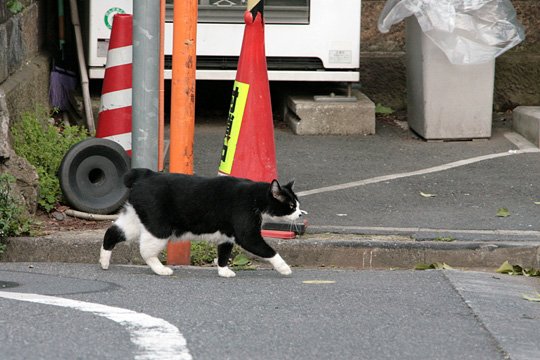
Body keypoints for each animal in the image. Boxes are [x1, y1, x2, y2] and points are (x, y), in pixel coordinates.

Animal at [98, 169, 306, 278]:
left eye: (297, 204)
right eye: (290, 205)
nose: (300, 213)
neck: (256, 199)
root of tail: (145, 175)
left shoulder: (227, 235)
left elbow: (224, 253)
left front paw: (223, 271)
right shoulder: (247, 234)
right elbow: (269, 250)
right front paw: (284, 268)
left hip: (135, 218)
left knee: (112, 232)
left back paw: (104, 262)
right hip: (159, 228)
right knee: (145, 251)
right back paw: (162, 270)